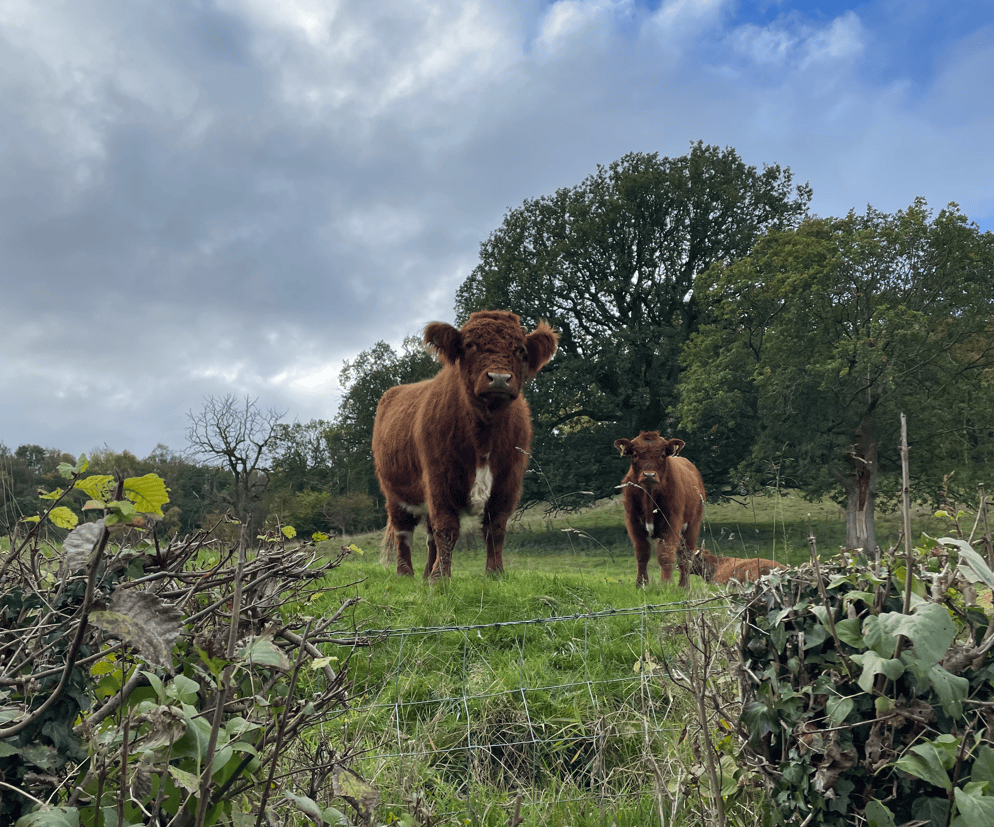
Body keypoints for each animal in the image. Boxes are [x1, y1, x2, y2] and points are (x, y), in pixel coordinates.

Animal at [372, 310, 558, 581]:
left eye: (521, 349)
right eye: (470, 345)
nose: (499, 378)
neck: (484, 436)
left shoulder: (508, 482)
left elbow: (495, 530)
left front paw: (495, 574)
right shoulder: (439, 479)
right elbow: (447, 530)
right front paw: (440, 579)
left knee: (429, 536)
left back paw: (426, 573)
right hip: (395, 493)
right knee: (403, 532)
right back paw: (405, 574)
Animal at [614, 432, 705, 587]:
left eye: (662, 455)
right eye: (635, 454)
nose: (649, 475)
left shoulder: (672, 522)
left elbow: (665, 555)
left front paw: (666, 584)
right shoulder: (632, 522)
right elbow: (642, 553)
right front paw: (641, 584)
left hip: (692, 525)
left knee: (686, 557)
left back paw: (684, 587)